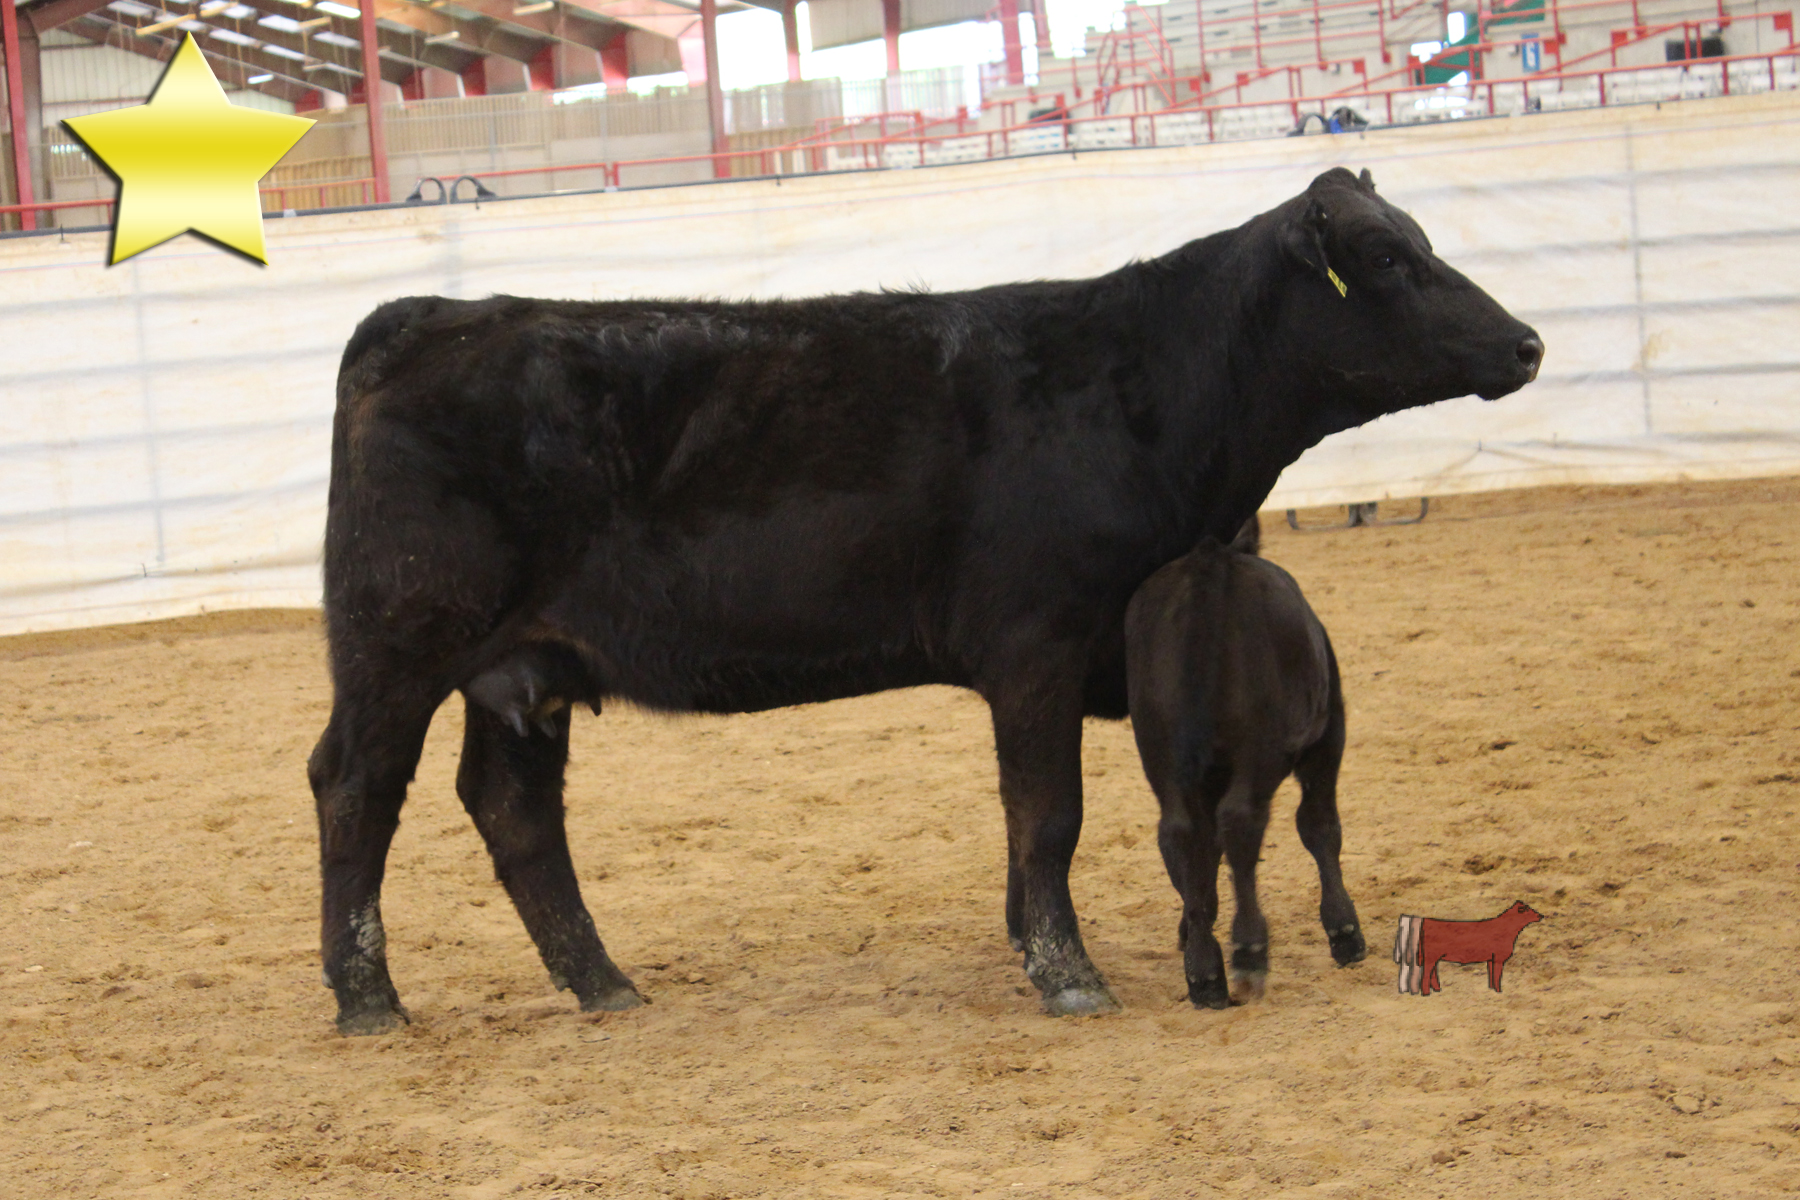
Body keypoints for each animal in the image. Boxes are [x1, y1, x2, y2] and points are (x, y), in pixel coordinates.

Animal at [1125, 516, 1364, 1009]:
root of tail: (1210, 561)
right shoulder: (1328, 735)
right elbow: (1320, 827)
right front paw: (1345, 930)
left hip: (1160, 749)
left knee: (1180, 833)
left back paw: (1203, 971)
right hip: (1261, 747)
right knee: (1241, 821)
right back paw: (1250, 950)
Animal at [1394, 902, 1544, 994]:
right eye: (1527, 910)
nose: (1541, 915)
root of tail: (1427, 921)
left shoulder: (1491, 958)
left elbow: (1491, 974)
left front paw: (1491, 989)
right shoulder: (1499, 958)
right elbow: (1497, 975)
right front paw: (1499, 991)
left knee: (1432, 973)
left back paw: (1437, 989)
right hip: (1431, 956)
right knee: (1426, 974)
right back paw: (1427, 993)